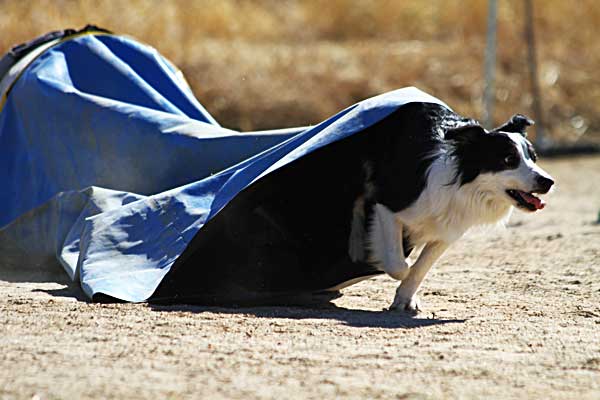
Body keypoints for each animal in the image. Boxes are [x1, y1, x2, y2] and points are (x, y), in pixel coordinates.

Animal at [152, 101, 556, 310]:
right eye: (507, 160)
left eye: (533, 157)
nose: (547, 181)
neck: (462, 180)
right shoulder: (390, 203)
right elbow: (399, 263)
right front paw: (378, 265)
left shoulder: (447, 231)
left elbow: (420, 267)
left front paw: (405, 300)